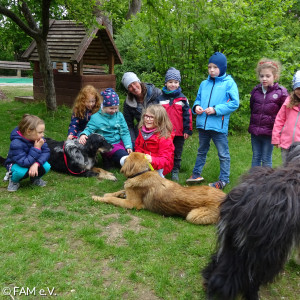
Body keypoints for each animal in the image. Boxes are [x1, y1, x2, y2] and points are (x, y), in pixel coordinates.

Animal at [92, 151, 226, 224]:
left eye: (127, 157)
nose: (122, 156)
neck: (141, 173)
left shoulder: (131, 204)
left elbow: (113, 199)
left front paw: (97, 198)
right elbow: (118, 192)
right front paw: (107, 194)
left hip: (192, 215)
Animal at [202, 142, 300, 300]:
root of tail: (241, 205)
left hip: (230, 243)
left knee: (219, 267)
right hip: (265, 252)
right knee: (252, 279)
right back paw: (253, 294)